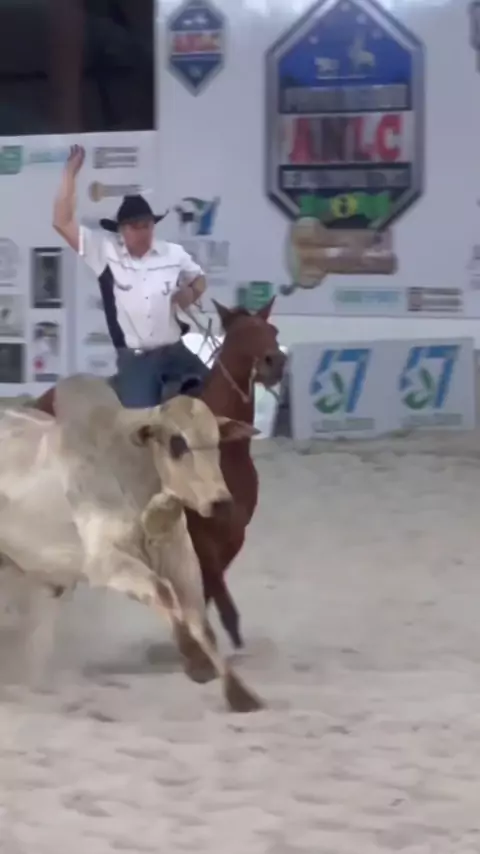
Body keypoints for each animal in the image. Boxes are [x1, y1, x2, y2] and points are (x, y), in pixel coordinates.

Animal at [0, 374, 262, 712]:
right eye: (178, 443)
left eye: (216, 441)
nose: (221, 502)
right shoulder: (105, 562)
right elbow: (161, 591)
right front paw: (195, 660)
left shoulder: (180, 557)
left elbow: (200, 620)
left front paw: (239, 693)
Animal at [32, 298, 286, 661]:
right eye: (241, 335)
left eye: (272, 330)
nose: (275, 362)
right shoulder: (195, 535)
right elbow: (209, 586)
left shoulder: (233, 532)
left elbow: (207, 588)